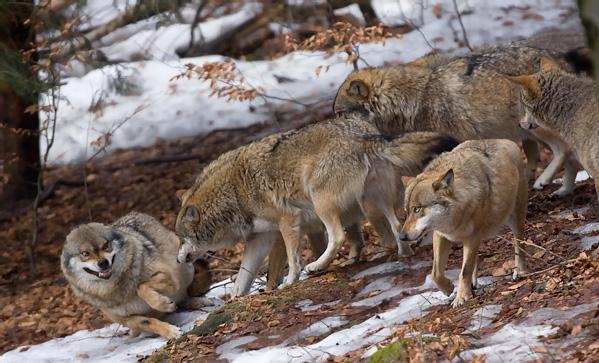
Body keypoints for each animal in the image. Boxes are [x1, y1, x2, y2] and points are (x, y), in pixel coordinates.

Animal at [176, 115, 458, 298]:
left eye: (181, 237)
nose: (179, 259)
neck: (233, 194)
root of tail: (363, 134)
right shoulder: (261, 237)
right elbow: (244, 275)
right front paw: (235, 298)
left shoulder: (288, 222)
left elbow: (292, 261)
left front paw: (289, 282)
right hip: (376, 201)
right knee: (397, 225)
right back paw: (403, 254)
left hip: (324, 202)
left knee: (339, 235)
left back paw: (318, 266)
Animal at [400, 139, 528, 308]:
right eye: (407, 211)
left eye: (417, 209)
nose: (401, 237)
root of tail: (509, 142)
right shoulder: (441, 235)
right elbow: (435, 273)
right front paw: (448, 288)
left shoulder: (472, 237)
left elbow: (464, 270)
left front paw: (461, 297)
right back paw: (473, 284)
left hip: (515, 219)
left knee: (519, 245)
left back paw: (519, 271)